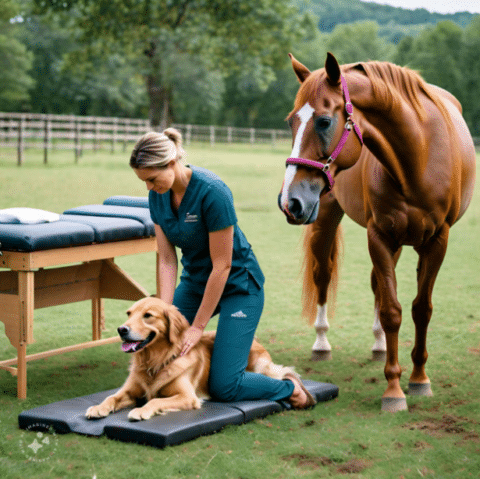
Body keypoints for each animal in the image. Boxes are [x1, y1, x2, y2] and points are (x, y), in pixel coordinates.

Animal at [280, 52, 474, 412]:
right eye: (291, 122)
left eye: (324, 121)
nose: (290, 201)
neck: (418, 157)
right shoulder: (380, 236)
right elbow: (392, 310)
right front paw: (394, 390)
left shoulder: (437, 241)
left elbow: (420, 309)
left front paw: (419, 379)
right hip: (328, 218)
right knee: (323, 274)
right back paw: (322, 342)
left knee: (377, 285)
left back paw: (380, 345)